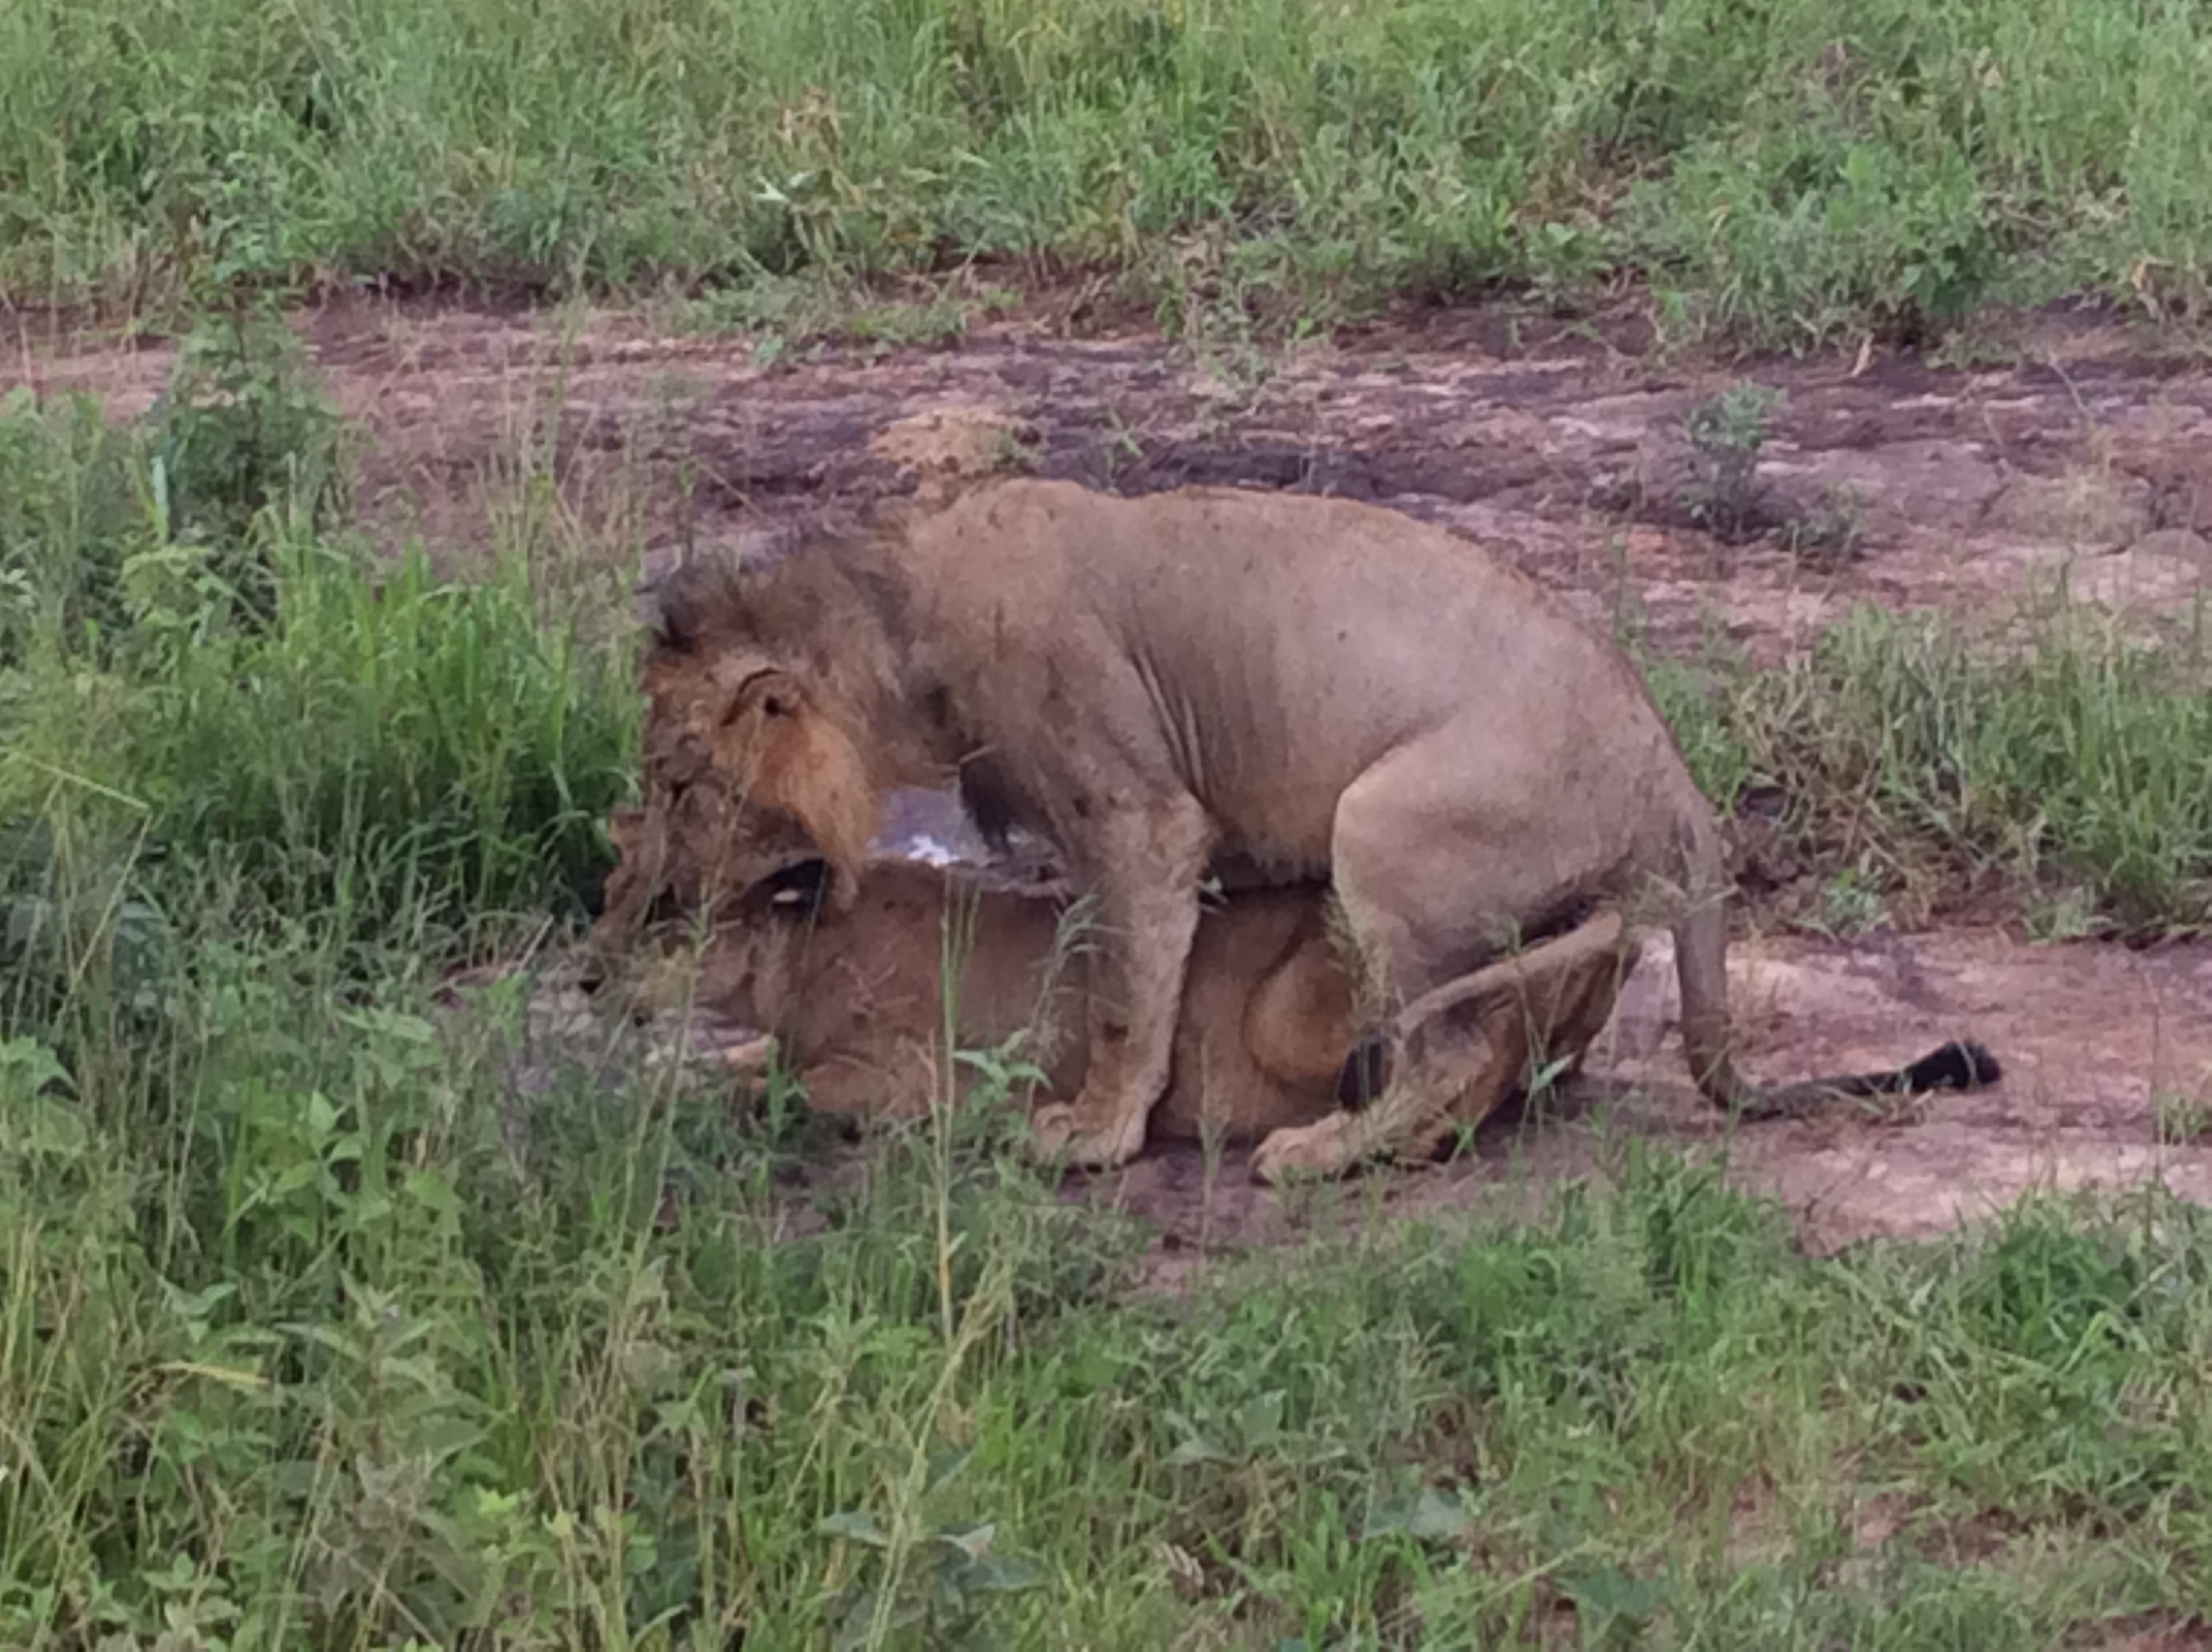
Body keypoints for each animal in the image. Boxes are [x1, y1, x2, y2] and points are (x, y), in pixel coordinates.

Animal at [642, 479, 2000, 1183]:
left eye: (674, 782)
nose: (641, 876)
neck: (899, 634)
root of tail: (1678, 787)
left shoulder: (1140, 815)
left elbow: (1129, 988)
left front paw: (1095, 1133)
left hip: (1387, 827)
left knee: (1450, 1052)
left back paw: (1322, 1148)